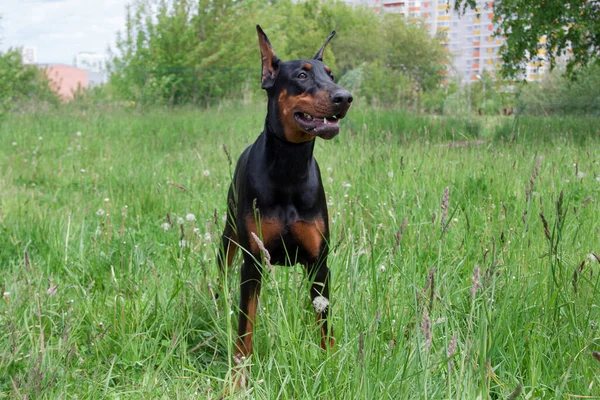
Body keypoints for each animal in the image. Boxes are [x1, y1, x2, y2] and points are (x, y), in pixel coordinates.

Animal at [219, 25, 352, 368]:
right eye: (302, 75)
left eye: (331, 74)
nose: (344, 97)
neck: (290, 171)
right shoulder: (253, 261)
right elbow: (245, 328)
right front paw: (238, 375)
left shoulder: (319, 263)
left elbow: (324, 325)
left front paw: (329, 363)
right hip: (230, 234)